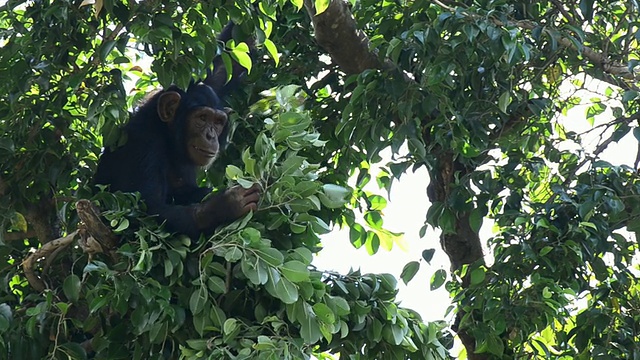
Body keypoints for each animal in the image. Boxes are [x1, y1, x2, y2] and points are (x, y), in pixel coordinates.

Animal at [94, 25, 258, 239]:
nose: (210, 135)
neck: (168, 135)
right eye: (202, 118)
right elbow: (142, 212)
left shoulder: (208, 85)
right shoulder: (144, 145)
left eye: (217, 122)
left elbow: (222, 67)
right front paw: (226, 204)